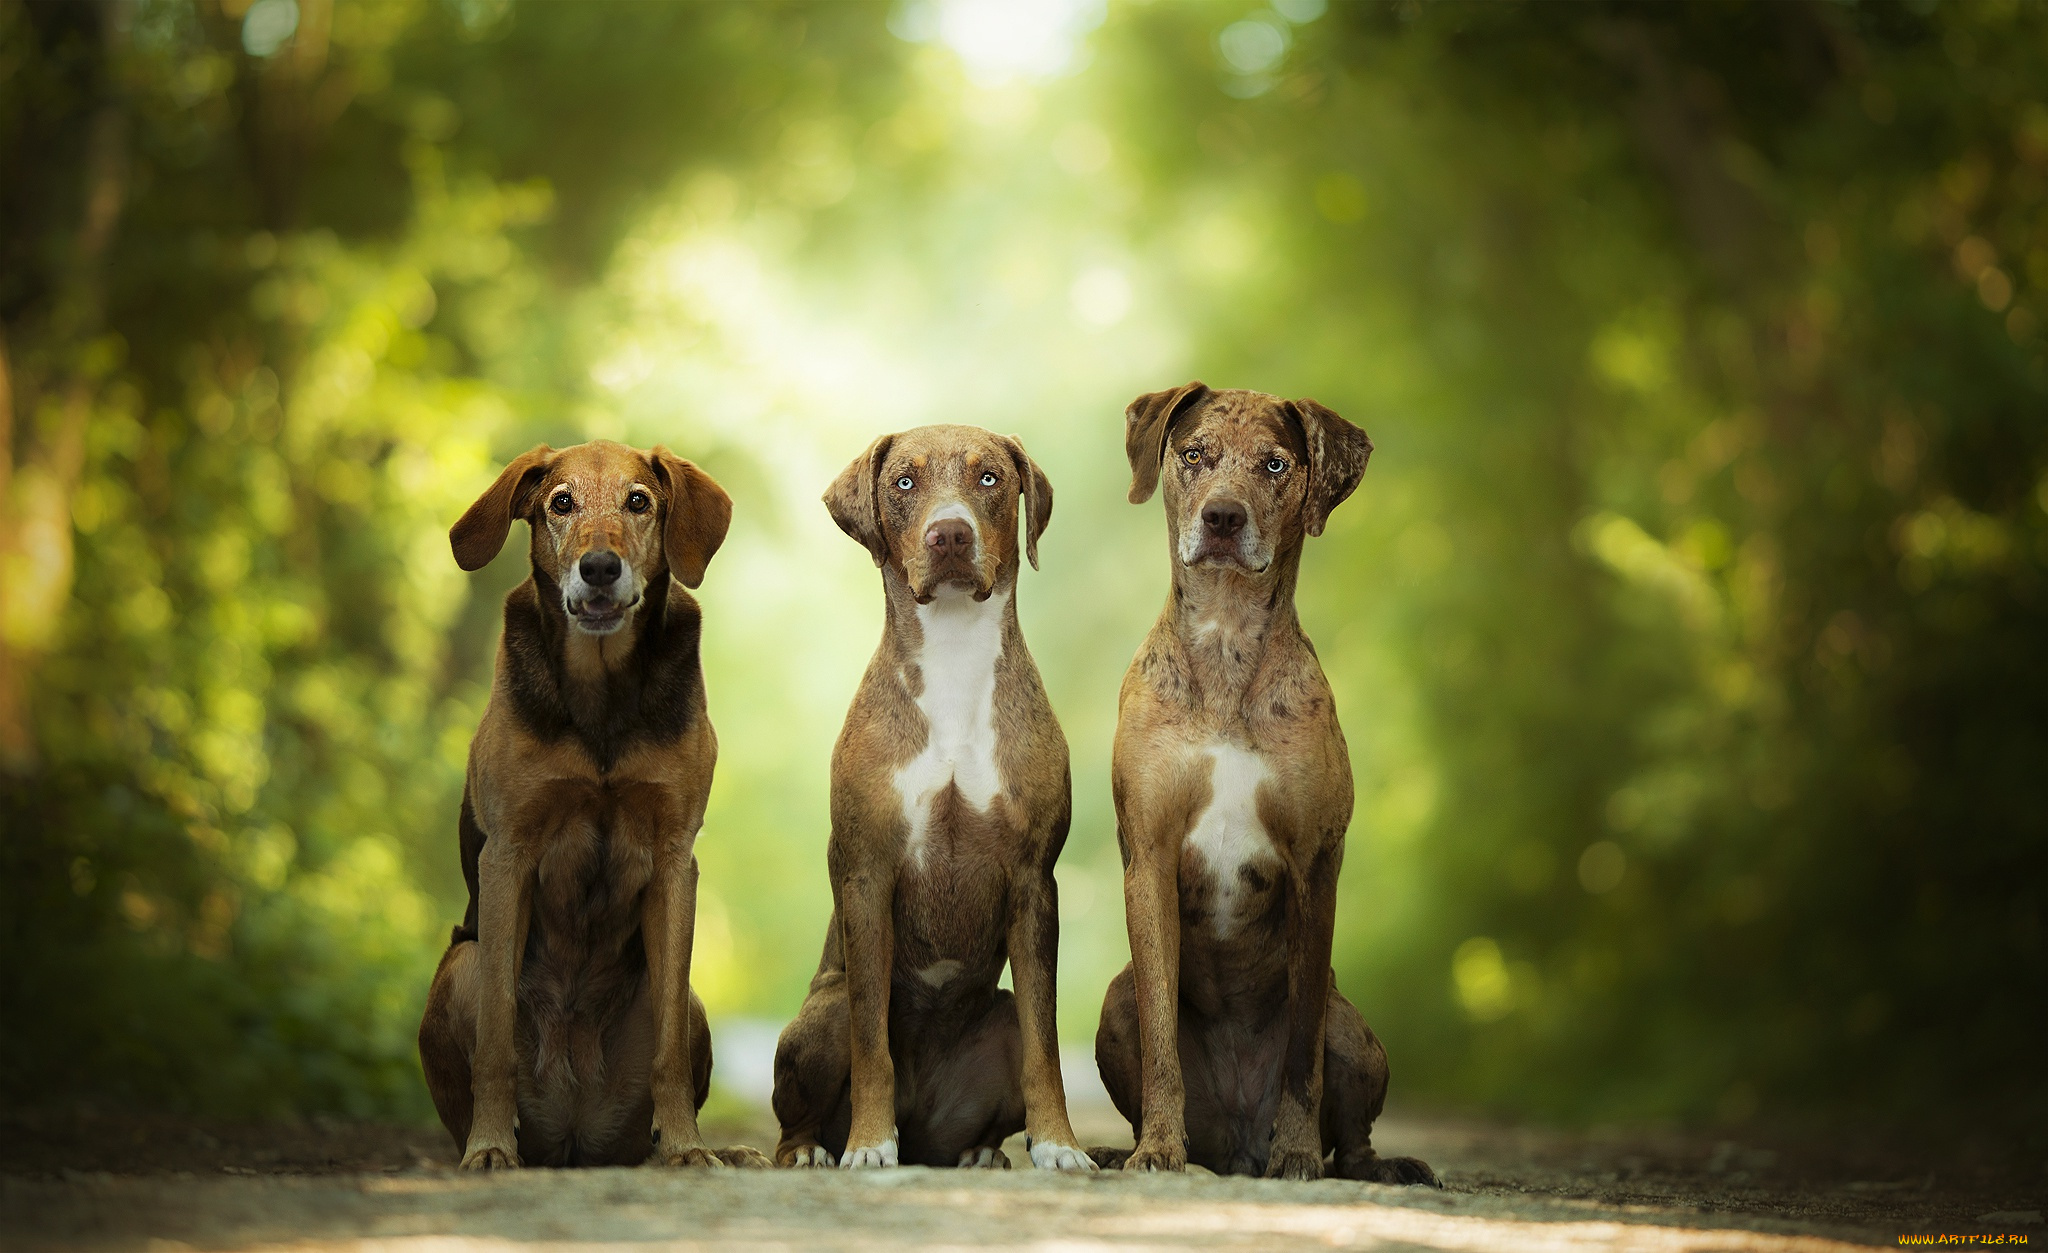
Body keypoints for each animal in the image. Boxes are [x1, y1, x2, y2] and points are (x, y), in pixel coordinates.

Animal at [417, 438, 770, 1162]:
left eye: (639, 501)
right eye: (560, 502)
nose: (600, 567)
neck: (602, 689)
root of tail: (575, 1134)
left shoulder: (675, 859)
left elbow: (668, 1049)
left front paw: (688, 1146)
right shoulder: (509, 853)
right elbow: (495, 1041)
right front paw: (490, 1145)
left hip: (691, 1005)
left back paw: (712, 1150)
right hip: (461, 966)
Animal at [770, 425, 1097, 1171]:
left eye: (988, 478)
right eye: (904, 482)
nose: (950, 534)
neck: (953, 656)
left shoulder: (1033, 878)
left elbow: (1046, 1043)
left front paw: (1060, 1145)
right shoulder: (866, 872)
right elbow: (871, 1044)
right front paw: (868, 1145)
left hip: (996, 1019)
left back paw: (980, 1152)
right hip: (823, 1013)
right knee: (796, 1113)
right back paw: (815, 1149)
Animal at [1089, 384, 1441, 1187]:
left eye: (1276, 464)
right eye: (1195, 454)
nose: (1223, 516)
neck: (1225, 641)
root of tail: (1234, 1147)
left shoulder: (1315, 866)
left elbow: (1301, 1057)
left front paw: (1299, 1153)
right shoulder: (1149, 855)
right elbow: (1161, 1038)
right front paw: (1156, 1150)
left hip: (1356, 1031)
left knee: (1353, 1128)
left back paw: (1378, 1164)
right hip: (1114, 1005)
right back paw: (1125, 1146)